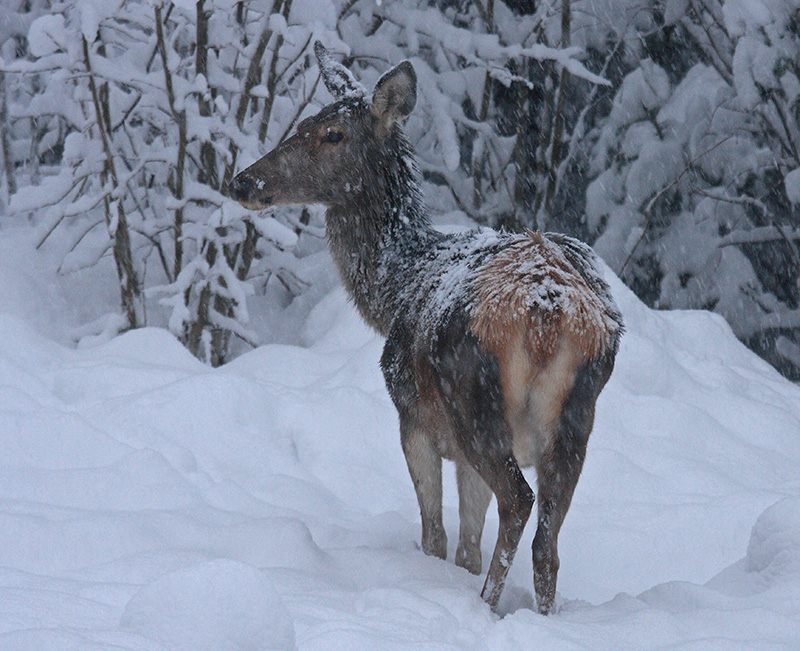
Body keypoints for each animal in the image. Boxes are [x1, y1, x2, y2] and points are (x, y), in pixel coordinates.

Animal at [228, 43, 620, 612]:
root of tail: (547, 308)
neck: (396, 287)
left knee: (519, 501)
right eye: (302, 124)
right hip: (577, 418)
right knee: (547, 545)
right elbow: (467, 544)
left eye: (333, 134)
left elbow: (435, 536)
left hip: (474, 400)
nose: (244, 181)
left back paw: (485, 604)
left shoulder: (415, 419)